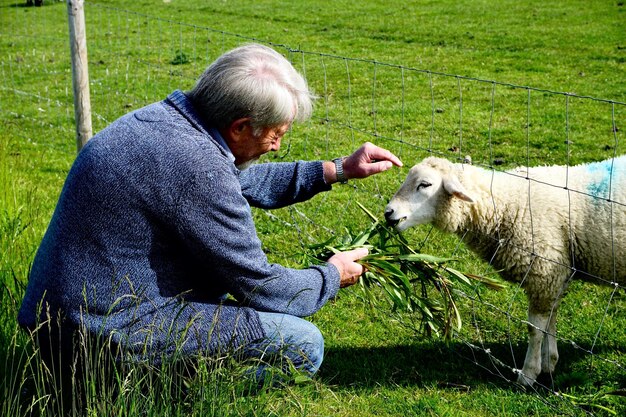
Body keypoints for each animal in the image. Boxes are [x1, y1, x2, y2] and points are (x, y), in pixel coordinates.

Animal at [382, 155, 620, 386]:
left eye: (425, 184)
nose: (388, 213)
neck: (507, 204)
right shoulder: (554, 274)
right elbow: (549, 321)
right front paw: (549, 363)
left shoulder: (544, 271)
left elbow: (535, 329)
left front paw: (528, 375)